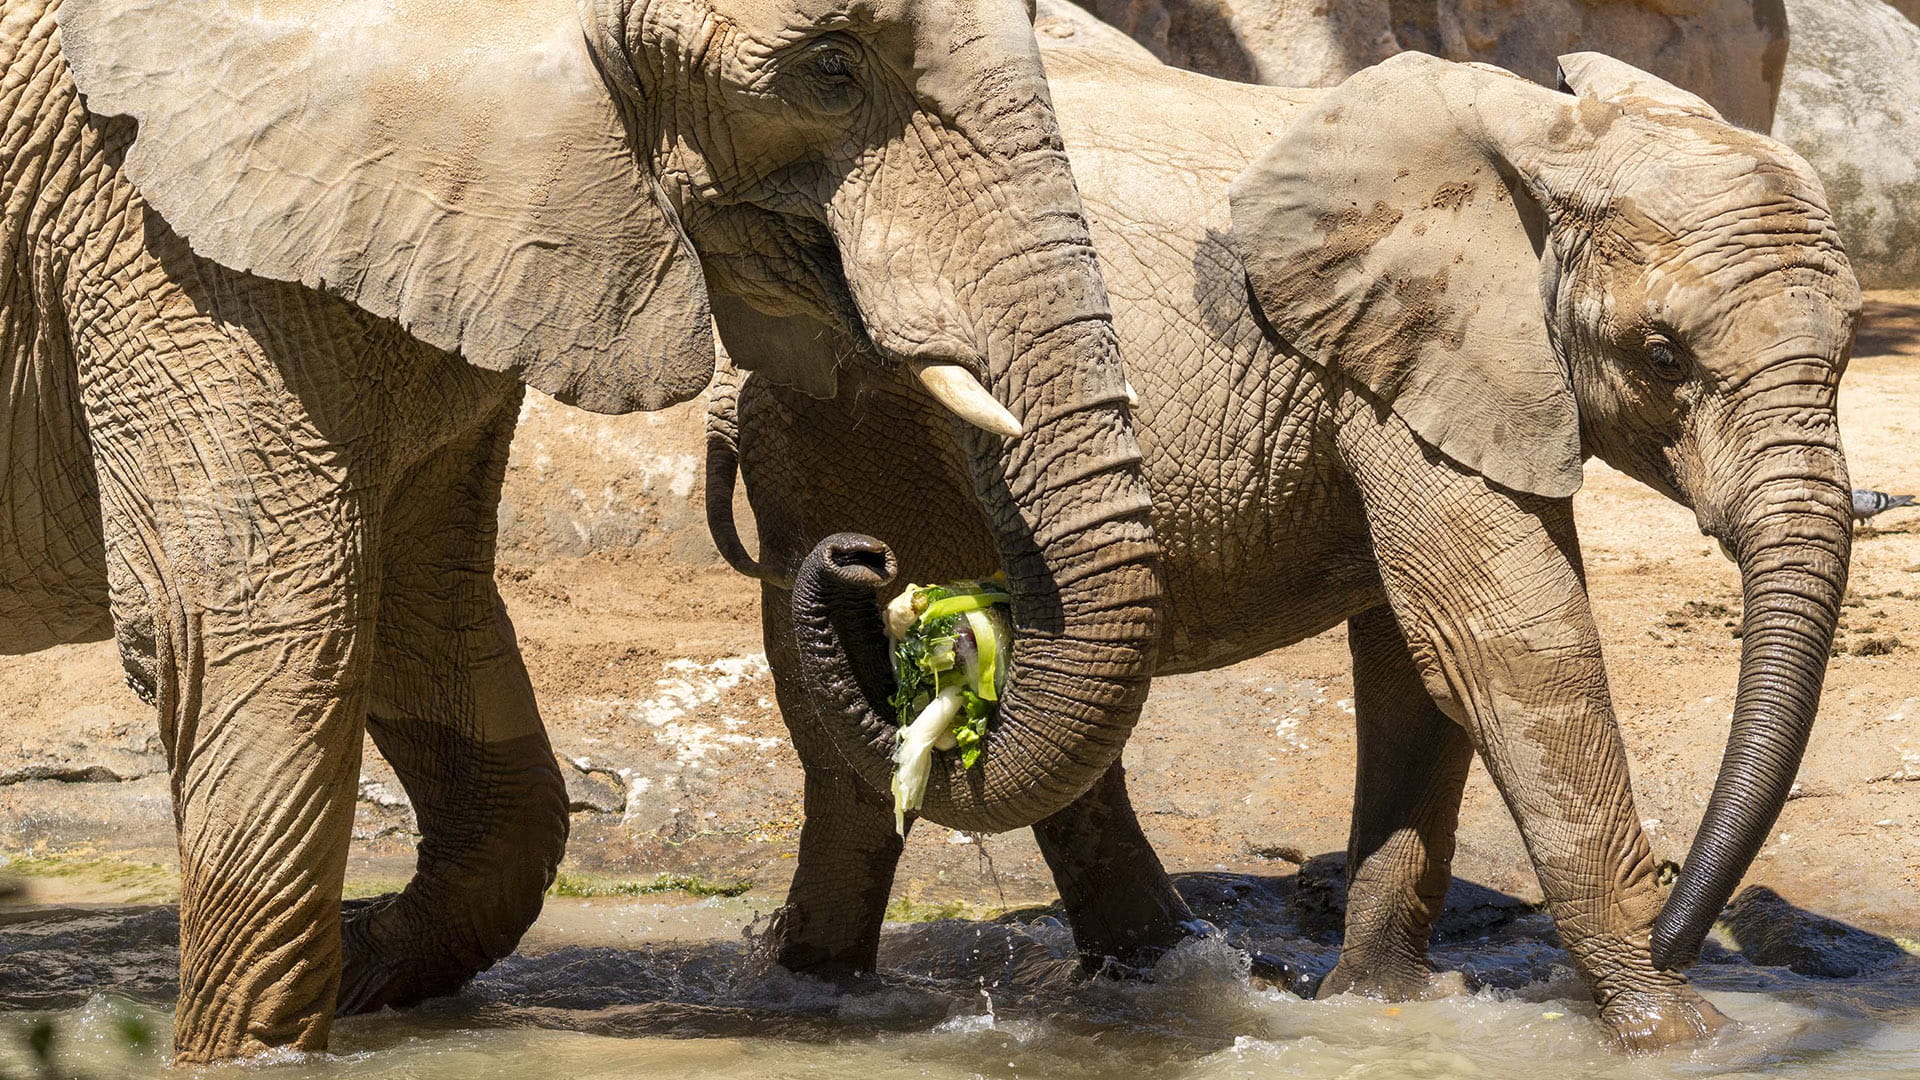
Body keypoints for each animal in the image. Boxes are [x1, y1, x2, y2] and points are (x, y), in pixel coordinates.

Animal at [1, 0, 1156, 1060]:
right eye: (830, 70)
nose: (864, 556)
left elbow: (427, 626)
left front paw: (361, 967)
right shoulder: (163, 246)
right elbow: (253, 640)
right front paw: (253, 1050)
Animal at [711, 44, 1858, 1050]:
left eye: (1850, 353)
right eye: (1663, 355)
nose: (1679, 938)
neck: (1554, 133)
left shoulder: (1411, 366)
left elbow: (1420, 668)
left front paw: (1388, 1008)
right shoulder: (1407, 359)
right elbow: (1509, 643)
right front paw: (1682, 1036)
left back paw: (1152, 974)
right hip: (842, 419)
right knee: (863, 756)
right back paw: (821, 999)